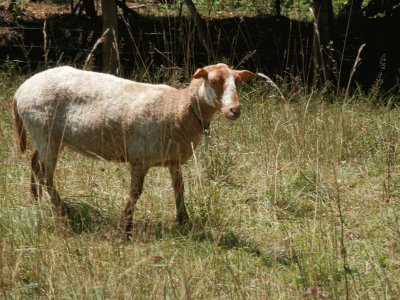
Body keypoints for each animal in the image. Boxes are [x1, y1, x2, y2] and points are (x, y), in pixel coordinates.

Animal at [13, 62, 256, 237]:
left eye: (238, 82)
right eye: (214, 80)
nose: (235, 110)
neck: (179, 108)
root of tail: (20, 90)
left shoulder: (173, 158)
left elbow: (179, 188)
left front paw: (184, 220)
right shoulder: (140, 159)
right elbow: (135, 192)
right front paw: (125, 226)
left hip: (46, 138)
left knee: (35, 163)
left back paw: (36, 200)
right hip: (44, 134)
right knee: (47, 177)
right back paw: (62, 213)